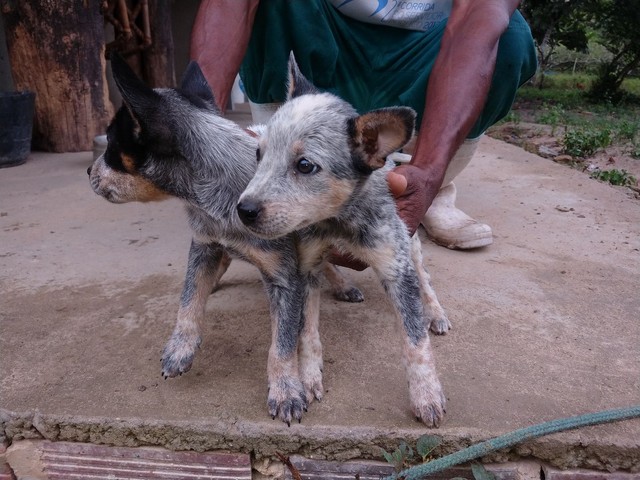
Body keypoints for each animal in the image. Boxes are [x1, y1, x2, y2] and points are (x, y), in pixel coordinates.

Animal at [87, 54, 362, 426]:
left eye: (113, 148)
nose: (88, 172)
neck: (221, 203)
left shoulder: (285, 278)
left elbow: (282, 343)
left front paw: (286, 390)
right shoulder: (204, 245)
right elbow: (189, 297)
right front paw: (180, 347)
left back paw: (342, 284)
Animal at [236, 53, 450, 428]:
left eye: (305, 165)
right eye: (259, 155)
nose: (243, 210)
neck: (338, 223)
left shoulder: (395, 263)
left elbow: (415, 341)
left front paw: (426, 394)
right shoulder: (306, 262)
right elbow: (306, 331)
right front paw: (308, 376)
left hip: (411, 243)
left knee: (425, 278)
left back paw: (434, 312)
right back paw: (342, 284)